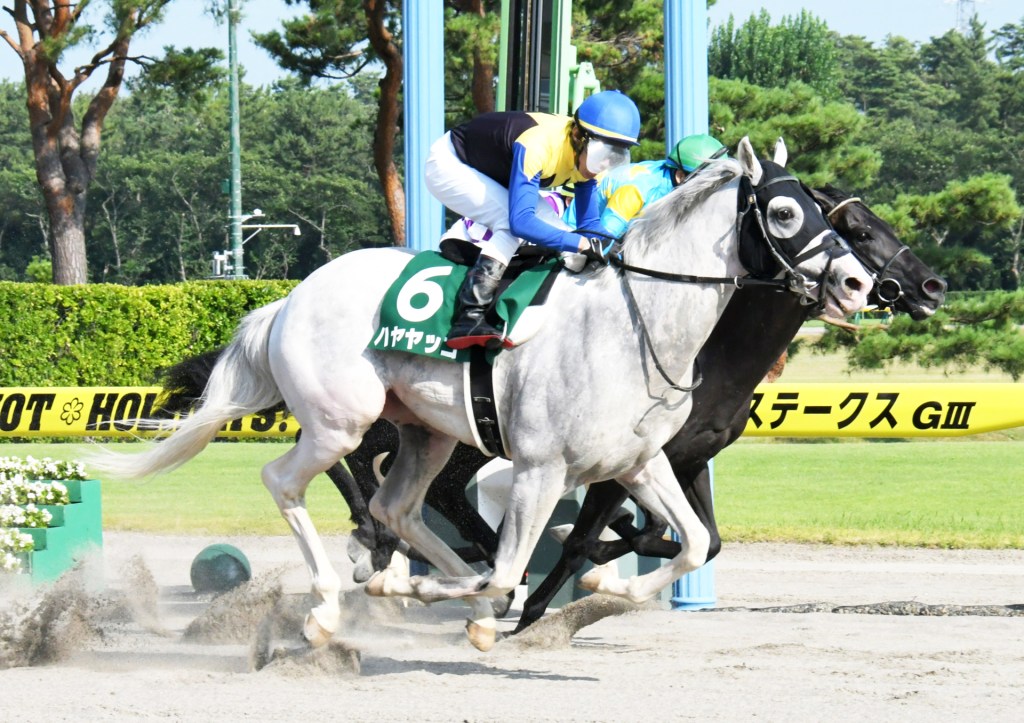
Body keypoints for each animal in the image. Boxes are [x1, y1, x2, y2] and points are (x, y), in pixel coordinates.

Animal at [91, 137, 873, 652]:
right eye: (785, 212)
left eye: (823, 210)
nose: (860, 283)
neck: (635, 326)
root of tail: (288, 298)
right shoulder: (541, 468)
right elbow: (510, 569)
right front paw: (488, 605)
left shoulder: (639, 462)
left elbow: (691, 542)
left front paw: (605, 588)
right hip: (340, 423)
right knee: (289, 482)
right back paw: (331, 606)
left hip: (427, 432)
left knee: (396, 508)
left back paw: (400, 579)